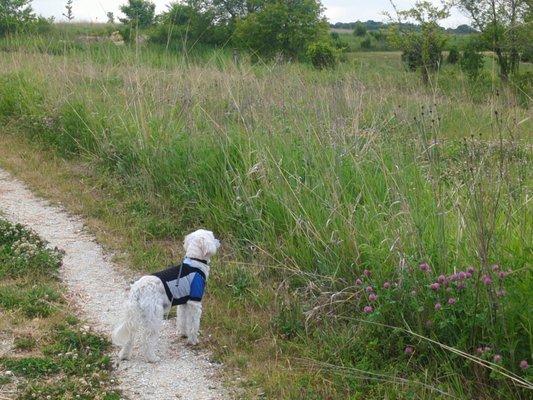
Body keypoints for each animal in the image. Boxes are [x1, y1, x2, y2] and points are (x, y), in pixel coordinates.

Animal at [111, 228, 219, 362]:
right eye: (212, 236)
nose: (218, 241)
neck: (194, 261)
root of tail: (138, 289)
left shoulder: (183, 304)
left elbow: (183, 320)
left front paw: (183, 334)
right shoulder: (194, 303)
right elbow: (193, 324)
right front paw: (193, 340)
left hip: (135, 315)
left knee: (130, 336)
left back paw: (124, 355)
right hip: (154, 316)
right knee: (147, 339)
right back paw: (152, 358)